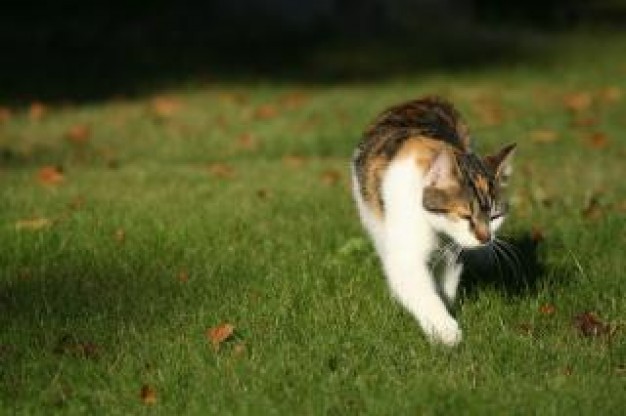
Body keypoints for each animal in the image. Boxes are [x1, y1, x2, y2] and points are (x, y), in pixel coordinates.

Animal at [348, 96, 516, 346]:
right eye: (466, 215)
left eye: (495, 217)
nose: (486, 238)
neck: (435, 227)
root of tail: (417, 100)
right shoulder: (405, 248)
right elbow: (418, 286)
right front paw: (444, 328)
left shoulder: (452, 251)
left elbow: (447, 282)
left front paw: (447, 307)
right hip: (372, 213)